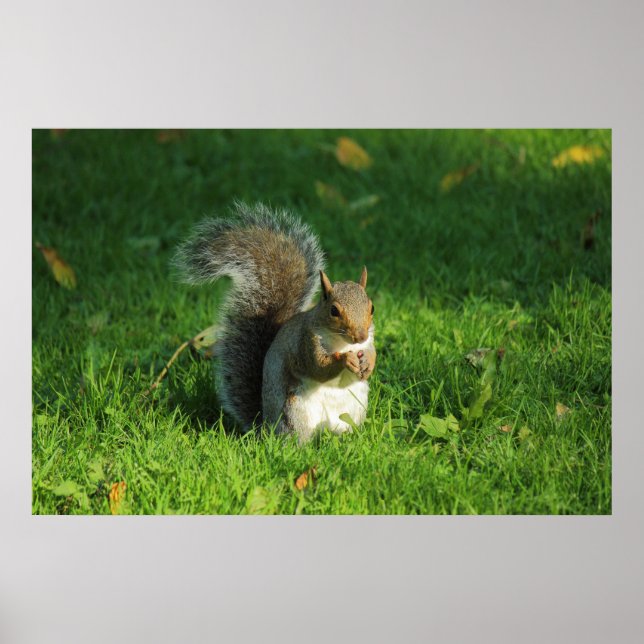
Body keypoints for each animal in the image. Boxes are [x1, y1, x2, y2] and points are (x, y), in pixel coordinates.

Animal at [172, 201, 376, 443]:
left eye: (372, 307)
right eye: (334, 310)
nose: (360, 336)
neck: (342, 342)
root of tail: (266, 428)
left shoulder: (369, 340)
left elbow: (371, 352)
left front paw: (368, 363)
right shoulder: (305, 343)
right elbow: (319, 367)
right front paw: (346, 360)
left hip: (353, 409)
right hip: (294, 411)